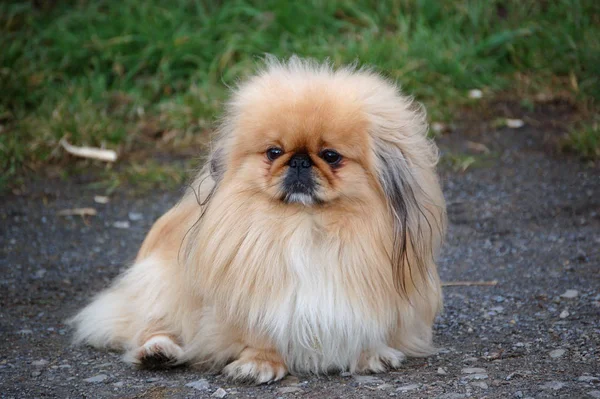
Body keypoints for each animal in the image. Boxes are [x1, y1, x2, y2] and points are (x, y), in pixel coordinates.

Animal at [70, 57, 446, 384]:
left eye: (330, 156)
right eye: (274, 152)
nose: (299, 162)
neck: (305, 226)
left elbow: (368, 327)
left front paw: (370, 355)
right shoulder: (253, 294)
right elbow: (259, 332)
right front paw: (259, 364)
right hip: (162, 281)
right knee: (150, 322)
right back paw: (158, 352)